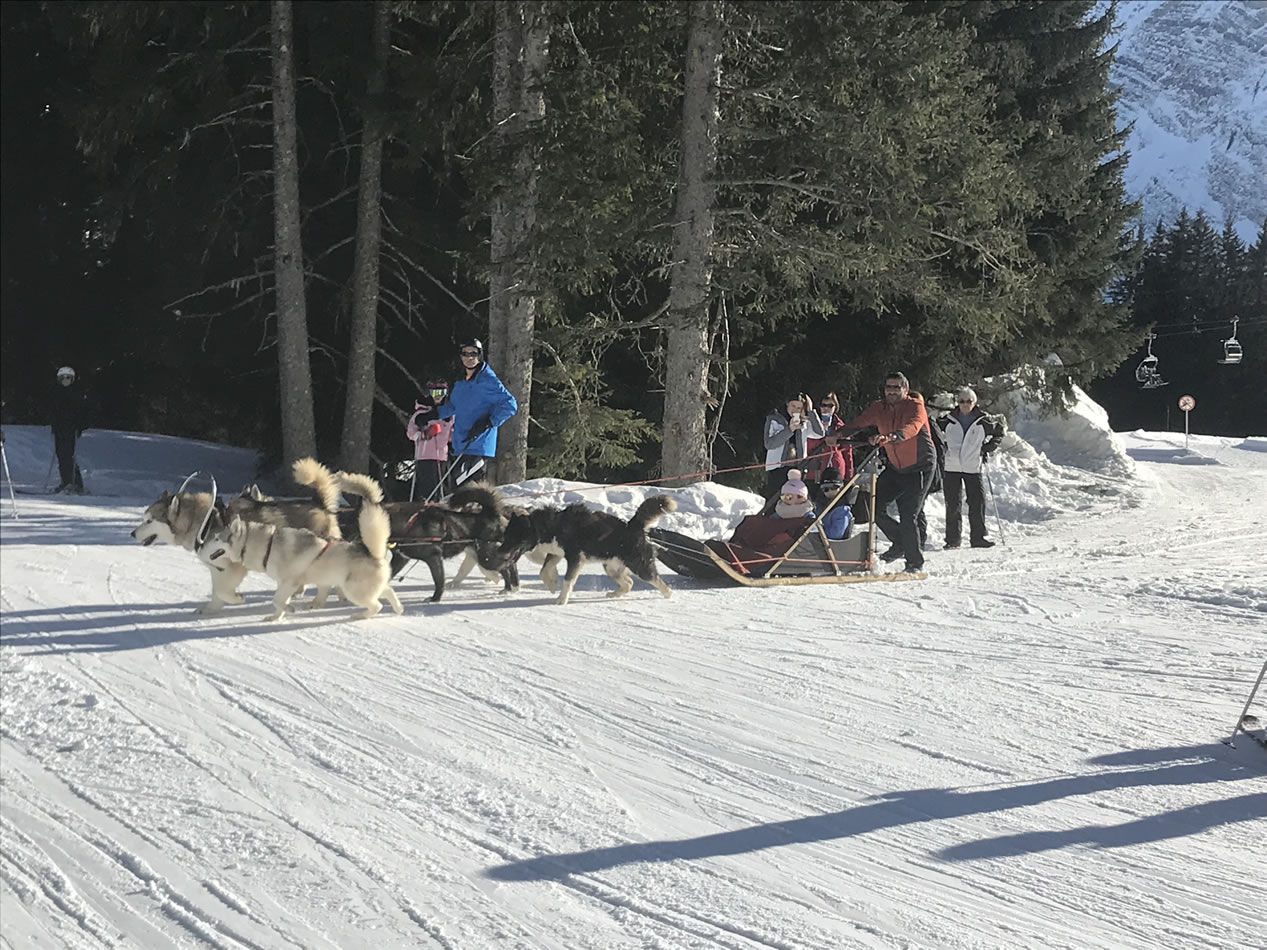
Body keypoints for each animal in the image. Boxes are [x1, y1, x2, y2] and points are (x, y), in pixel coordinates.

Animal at [128, 458, 342, 618]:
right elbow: (217, 591)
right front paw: (210, 609)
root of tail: (320, 504)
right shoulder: (217, 567)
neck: (206, 520)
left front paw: (237, 598)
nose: (132, 533)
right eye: (144, 519)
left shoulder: (233, 566)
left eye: (149, 521)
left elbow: (223, 591)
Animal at [197, 471, 400, 620]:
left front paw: (288, 609)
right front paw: (276, 617)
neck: (267, 544)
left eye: (216, 539)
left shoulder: (289, 581)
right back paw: (398, 608)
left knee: (376, 605)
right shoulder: (284, 583)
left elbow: (277, 600)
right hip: (365, 587)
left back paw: (360, 615)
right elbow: (278, 601)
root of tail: (373, 552)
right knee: (388, 591)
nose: (200, 545)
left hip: (355, 591)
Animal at [476, 494, 674, 605]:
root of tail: (633, 526)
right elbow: (543, 571)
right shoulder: (555, 553)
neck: (552, 525)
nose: (499, 552)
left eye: (512, 538)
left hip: (640, 566)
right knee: (629, 583)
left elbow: (567, 580)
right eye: (506, 536)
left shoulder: (574, 559)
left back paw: (669, 596)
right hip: (611, 567)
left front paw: (561, 599)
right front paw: (552, 585)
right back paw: (614, 594)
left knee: (658, 581)